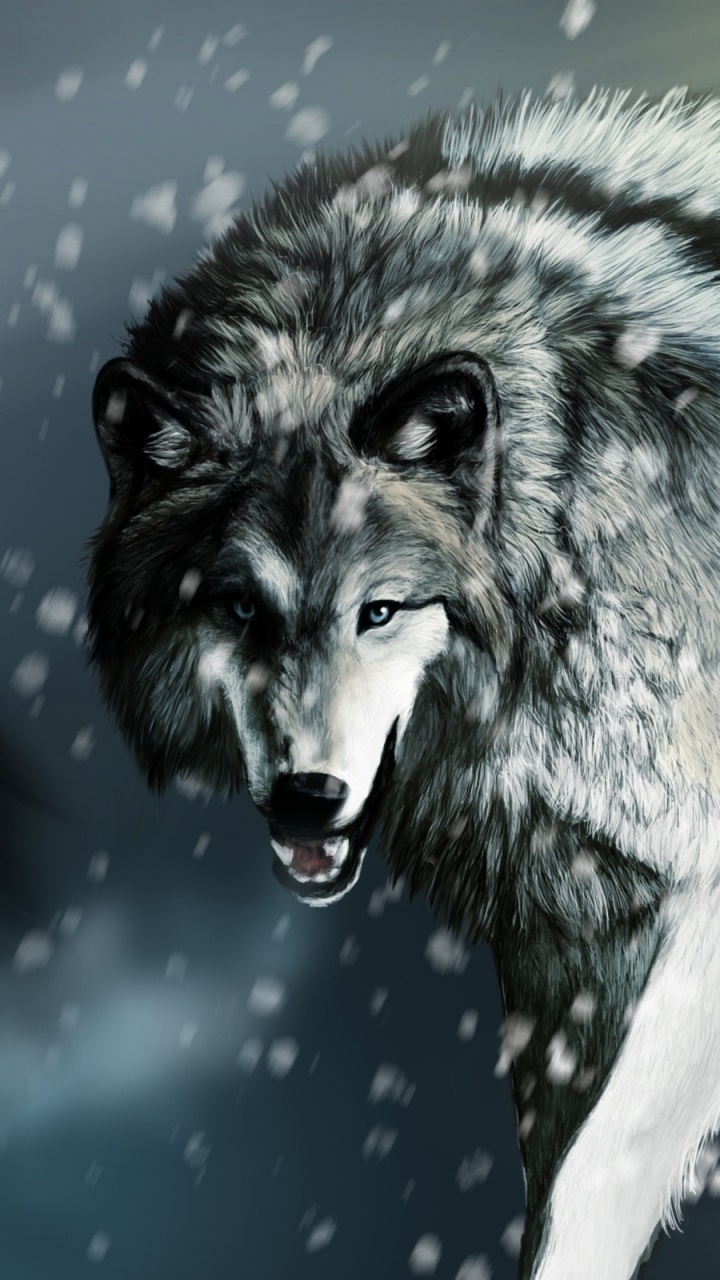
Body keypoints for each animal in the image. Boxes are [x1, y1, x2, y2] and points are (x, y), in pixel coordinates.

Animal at [86, 87, 720, 1279]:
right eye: (238, 607)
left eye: (379, 609)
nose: (307, 800)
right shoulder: (566, 945)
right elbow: (562, 1176)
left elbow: (596, 1178)